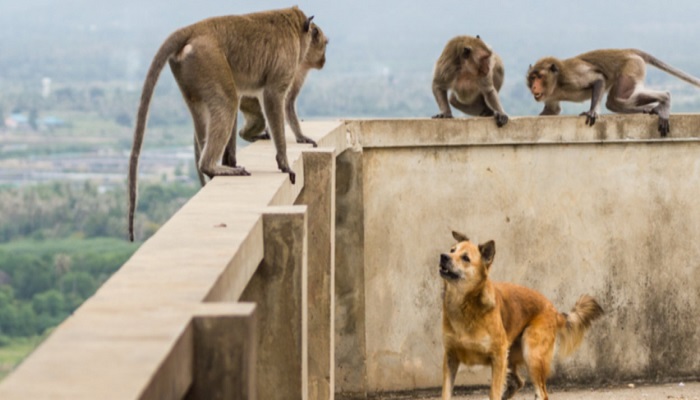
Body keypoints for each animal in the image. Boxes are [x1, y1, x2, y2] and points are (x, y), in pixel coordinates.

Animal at [193, 23, 330, 188]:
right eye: (325, 44)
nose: (324, 59)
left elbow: (287, 102)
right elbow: (281, 101)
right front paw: (299, 137)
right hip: (245, 97)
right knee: (258, 115)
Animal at [440, 231, 604, 400]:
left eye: (465, 258)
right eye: (452, 250)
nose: (443, 256)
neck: (464, 304)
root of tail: (554, 310)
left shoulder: (498, 356)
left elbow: (494, 392)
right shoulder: (450, 357)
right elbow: (446, 393)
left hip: (532, 355)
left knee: (541, 393)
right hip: (511, 357)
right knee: (518, 382)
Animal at [524, 47, 700, 136]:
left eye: (539, 77)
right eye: (532, 78)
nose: (533, 87)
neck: (557, 83)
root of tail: (627, 51)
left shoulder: (573, 76)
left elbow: (598, 79)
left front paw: (592, 111)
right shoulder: (550, 94)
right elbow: (553, 110)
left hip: (631, 67)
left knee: (620, 97)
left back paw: (665, 99)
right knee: (614, 102)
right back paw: (650, 109)